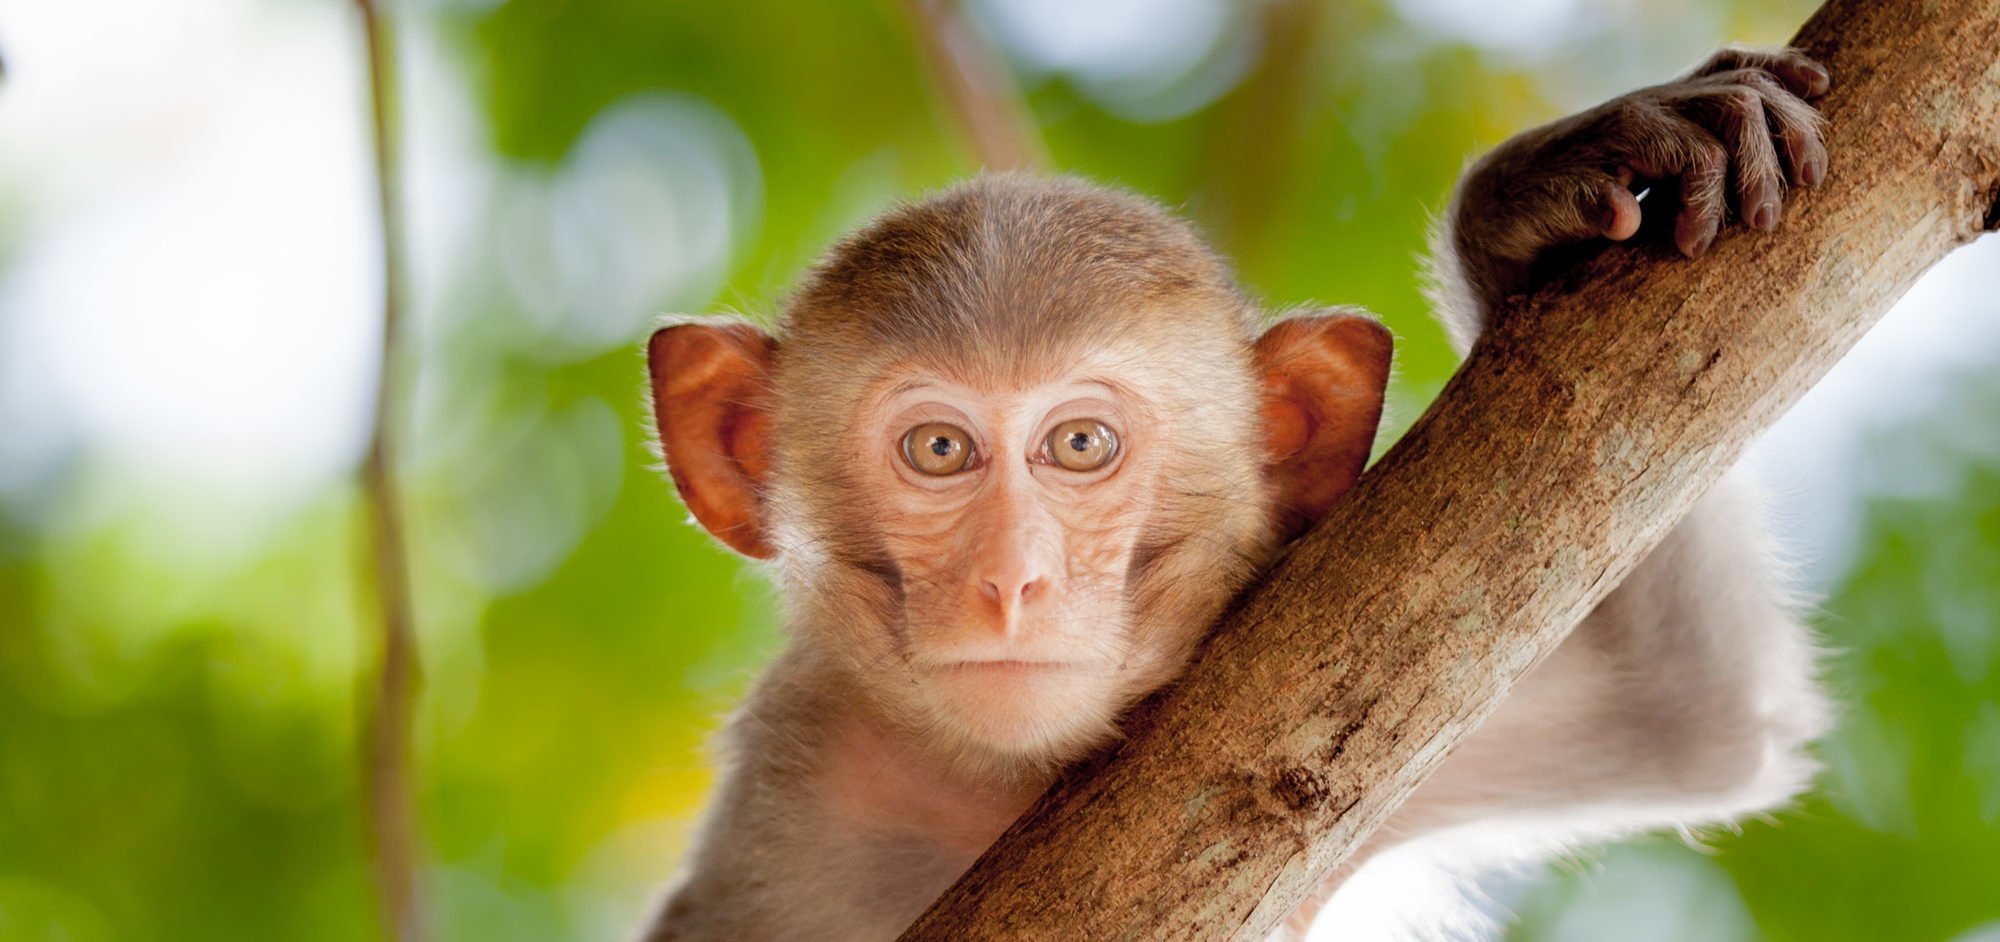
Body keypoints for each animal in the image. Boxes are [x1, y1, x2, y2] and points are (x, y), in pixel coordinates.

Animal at [638, 46, 1833, 942]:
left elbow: (1692, 708)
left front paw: (1524, 217)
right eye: (938, 449)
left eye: (1079, 444)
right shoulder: (784, 783)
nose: (1010, 583)